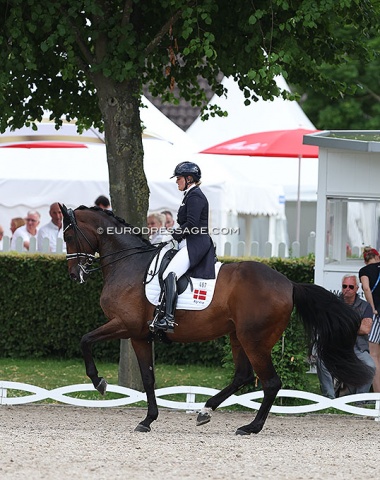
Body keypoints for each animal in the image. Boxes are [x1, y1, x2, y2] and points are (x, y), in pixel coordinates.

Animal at [60, 204, 372, 436]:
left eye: (68, 236)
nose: (74, 275)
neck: (129, 264)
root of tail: (289, 284)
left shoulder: (126, 325)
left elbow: (85, 340)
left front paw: (99, 382)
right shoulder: (139, 335)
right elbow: (148, 378)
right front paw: (147, 420)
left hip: (254, 340)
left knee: (270, 382)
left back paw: (250, 427)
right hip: (237, 336)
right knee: (243, 375)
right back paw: (205, 410)